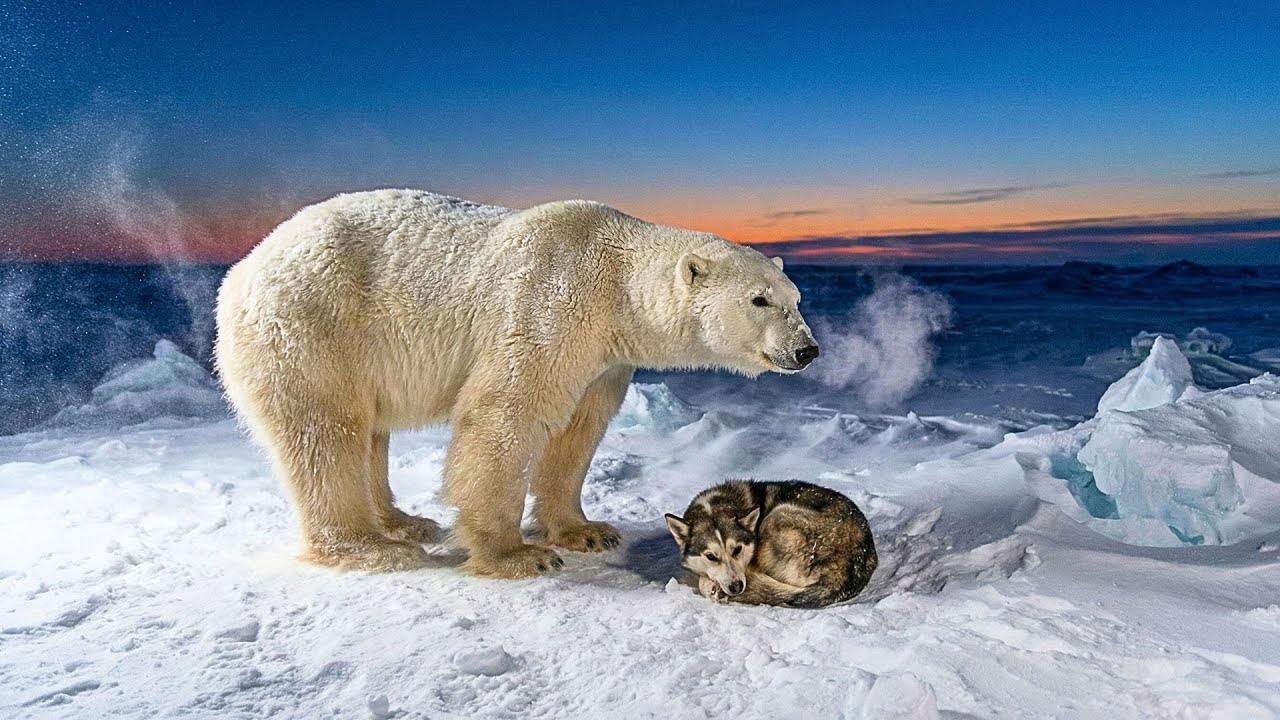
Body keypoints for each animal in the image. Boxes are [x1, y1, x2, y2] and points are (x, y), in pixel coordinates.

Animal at [214, 189, 818, 577]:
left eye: (795, 299)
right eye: (758, 300)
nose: (806, 350)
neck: (614, 281)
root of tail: (242, 269)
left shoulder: (603, 357)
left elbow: (578, 429)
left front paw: (586, 530)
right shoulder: (548, 301)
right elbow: (507, 412)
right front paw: (517, 555)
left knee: (368, 435)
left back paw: (406, 524)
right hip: (313, 326)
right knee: (325, 432)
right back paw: (371, 547)